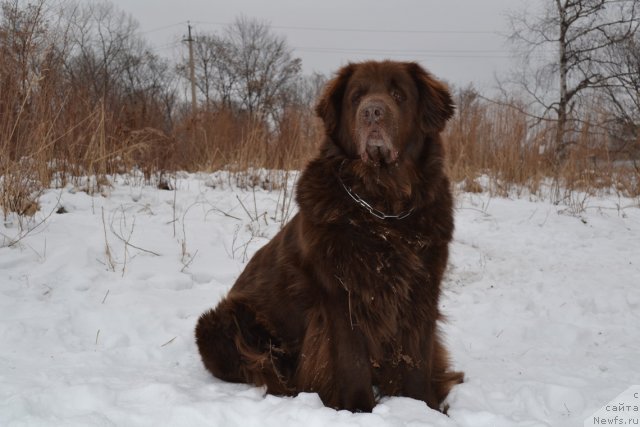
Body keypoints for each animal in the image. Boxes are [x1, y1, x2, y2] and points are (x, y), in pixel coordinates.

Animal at [192, 61, 462, 414]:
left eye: (398, 94)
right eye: (356, 97)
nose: (372, 112)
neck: (382, 209)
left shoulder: (422, 288)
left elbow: (416, 356)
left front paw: (421, 408)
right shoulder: (340, 293)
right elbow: (352, 360)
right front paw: (359, 410)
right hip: (219, 325)